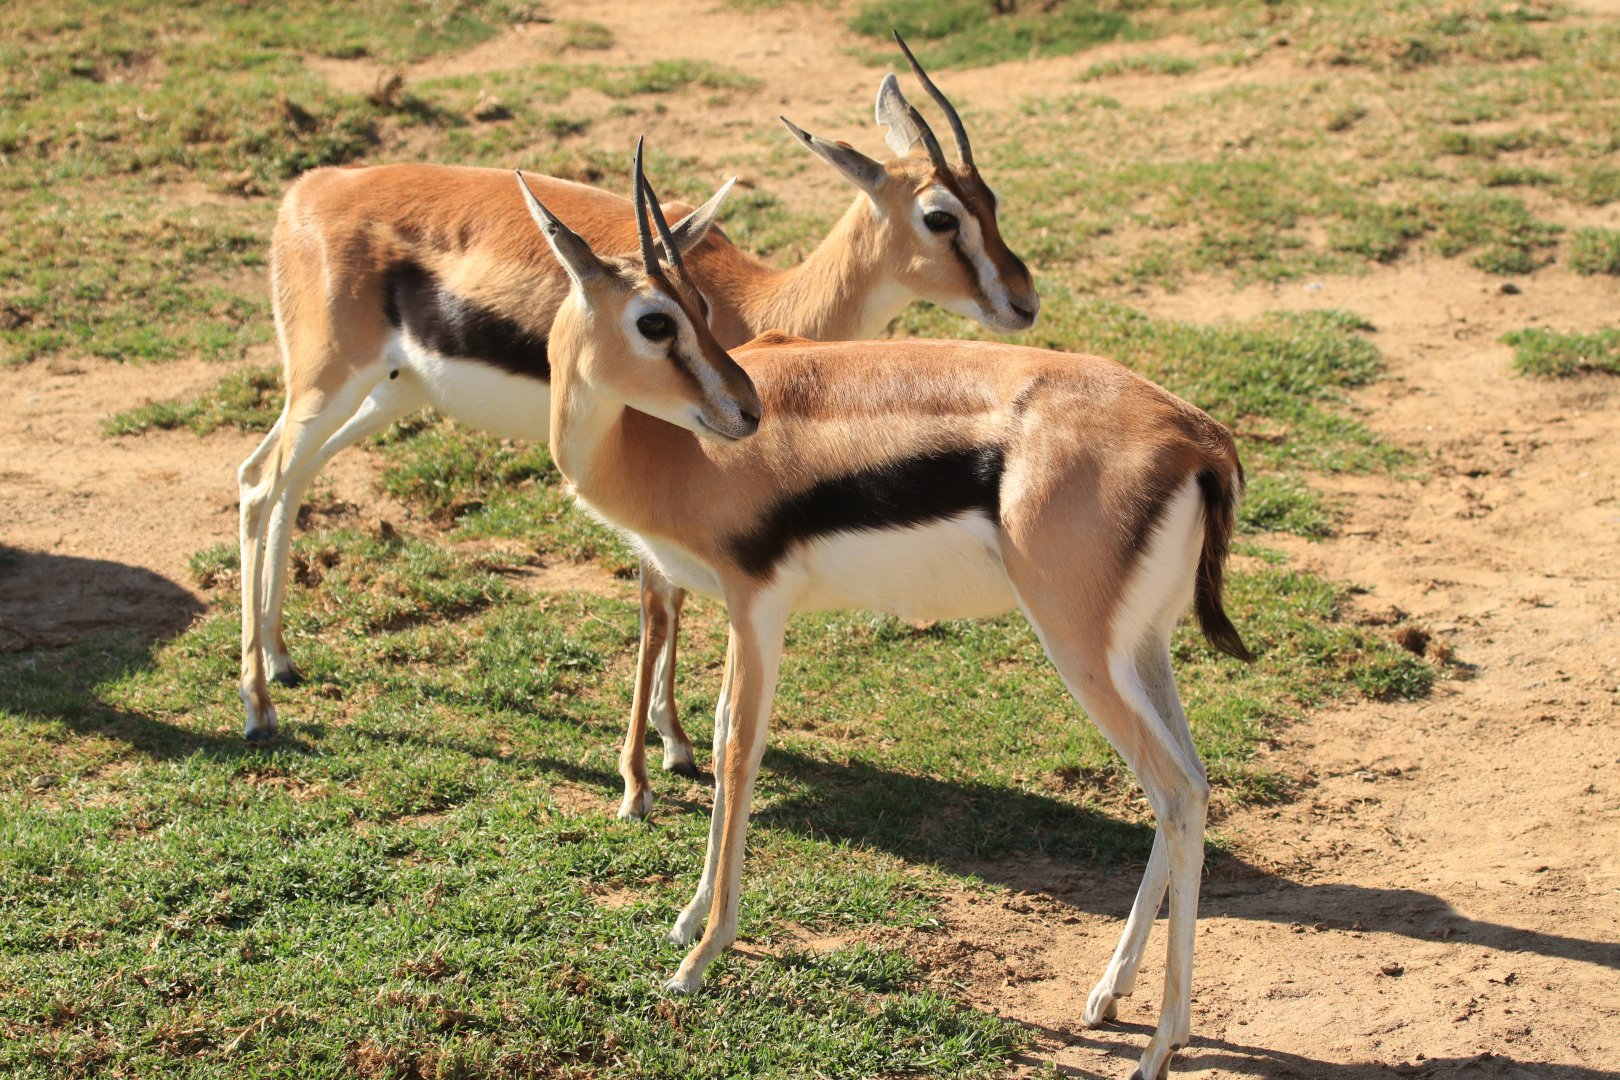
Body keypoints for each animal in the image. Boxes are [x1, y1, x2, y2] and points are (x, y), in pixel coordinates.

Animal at [237, 37, 1041, 810]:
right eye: (941, 216)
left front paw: (669, 741)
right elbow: (661, 604)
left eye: (992, 198)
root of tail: (312, 188)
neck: (764, 304)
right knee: (258, 483)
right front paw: (657, 762)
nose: (1025, 301)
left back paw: (281, 656)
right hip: (327, 380)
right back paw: (258, 705)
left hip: (385, 393)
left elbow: (674, 598)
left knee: (289, 479)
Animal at [524, 148, 1253, 1079]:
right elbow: (720, 741)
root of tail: (1195, 434)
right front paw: (688, 920)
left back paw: (1162, 1044)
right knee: (1191, 784)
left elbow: (737, 753)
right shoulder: (737, 613)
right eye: (660, 319)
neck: (666, 454)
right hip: (1142, 648)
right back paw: (1109, 996)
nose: (745, 408)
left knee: (1176, 793)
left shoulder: (757, 608)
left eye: (697, 310)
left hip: (1080, 649)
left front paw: (701, 956)